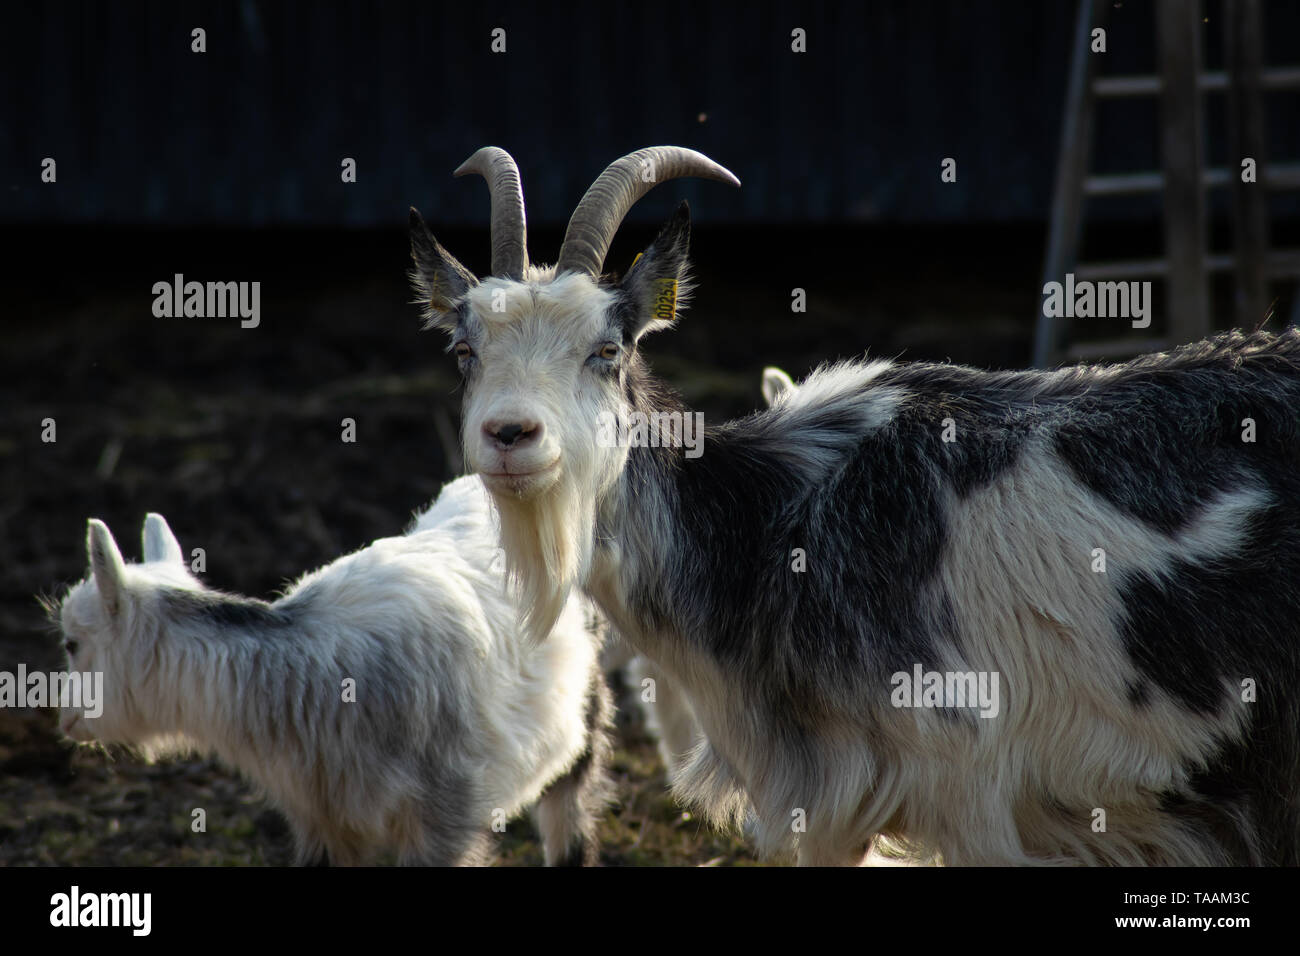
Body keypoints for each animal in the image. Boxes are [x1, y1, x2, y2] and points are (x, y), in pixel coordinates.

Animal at [409, 145, 1300, 866]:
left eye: (607, 349)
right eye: (464, 349)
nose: (511, 434)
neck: (774, 523)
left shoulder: (975, 796)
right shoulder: (836, 805)